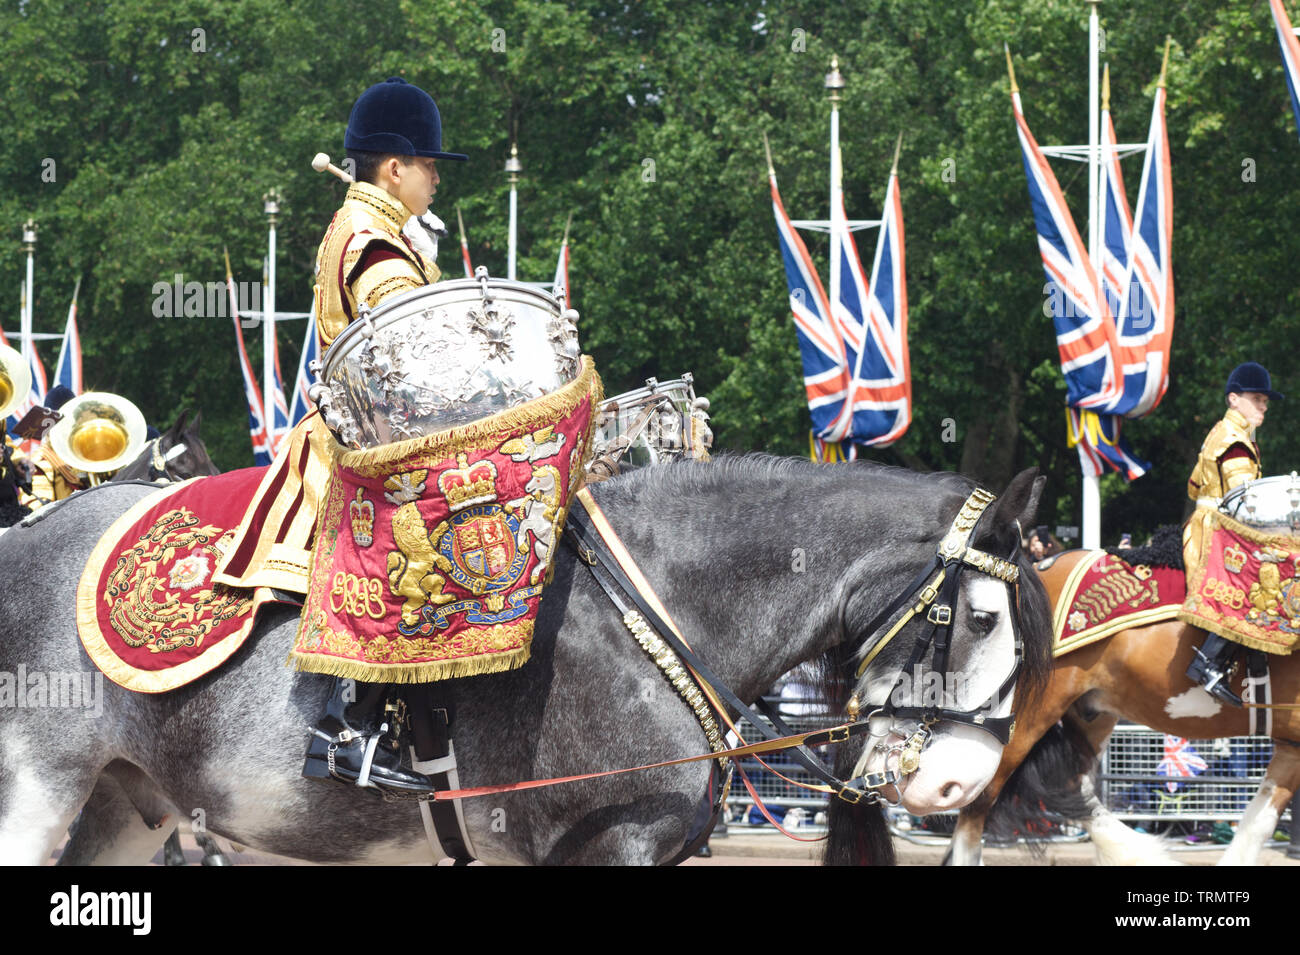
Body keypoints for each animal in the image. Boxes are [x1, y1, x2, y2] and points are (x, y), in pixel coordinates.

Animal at [0, 457, 1050, 867]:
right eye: (980, 615)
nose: (960, 785)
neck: (658, 612)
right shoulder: (603, 844)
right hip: (36, 790)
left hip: (125, 803)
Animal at [946, 545, 1300, 867]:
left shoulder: (1291, 746)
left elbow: (1259, 820)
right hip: (1024, 716)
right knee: (978, 798)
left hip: (1091, 714)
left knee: (1072, 785)